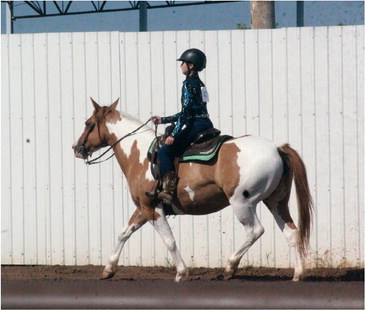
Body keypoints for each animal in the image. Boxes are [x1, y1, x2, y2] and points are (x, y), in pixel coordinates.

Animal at [72, 98, 312, 282]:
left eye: (88, 123)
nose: (76, 148)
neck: (140, 155)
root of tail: (277, 148)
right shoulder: (144, 207)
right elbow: (124, 232)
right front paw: (108, 269)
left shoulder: (152, 208)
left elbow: (169, 240)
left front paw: (181, 273)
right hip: (276, 202)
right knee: (292, 232)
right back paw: (298, 274)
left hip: (242, 203)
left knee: (255, 231)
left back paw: (230, 267)